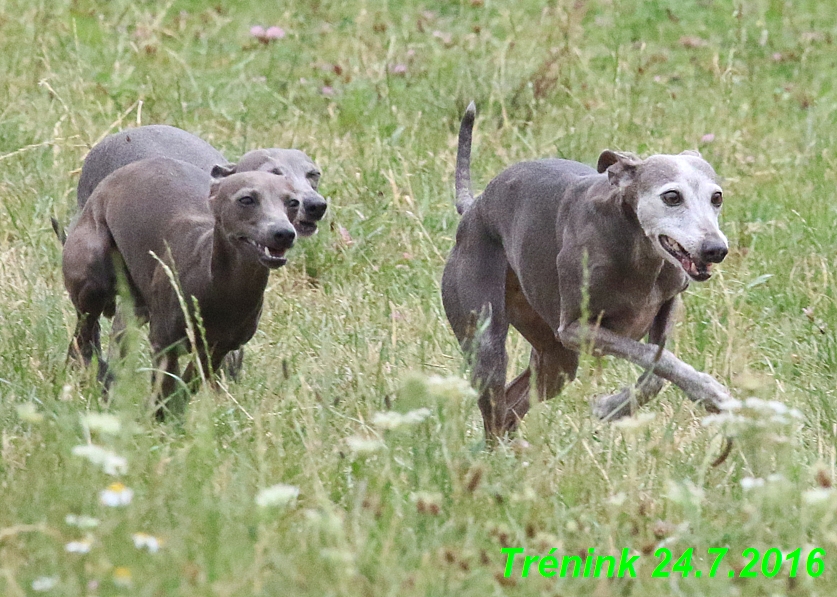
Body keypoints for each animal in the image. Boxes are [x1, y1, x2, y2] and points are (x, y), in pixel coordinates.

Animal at [440, 105, 728, 436]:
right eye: (671, 196)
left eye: (717, 197)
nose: (715, 249)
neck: (636, 250)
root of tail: (474, 207)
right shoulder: (574, 330)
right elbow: (653, 355)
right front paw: (709, 391)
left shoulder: (667, 303)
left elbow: (656, 368)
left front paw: (615, 406)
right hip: (487, 339)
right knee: (495, 409)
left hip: (556, 359)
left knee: (513, 404)